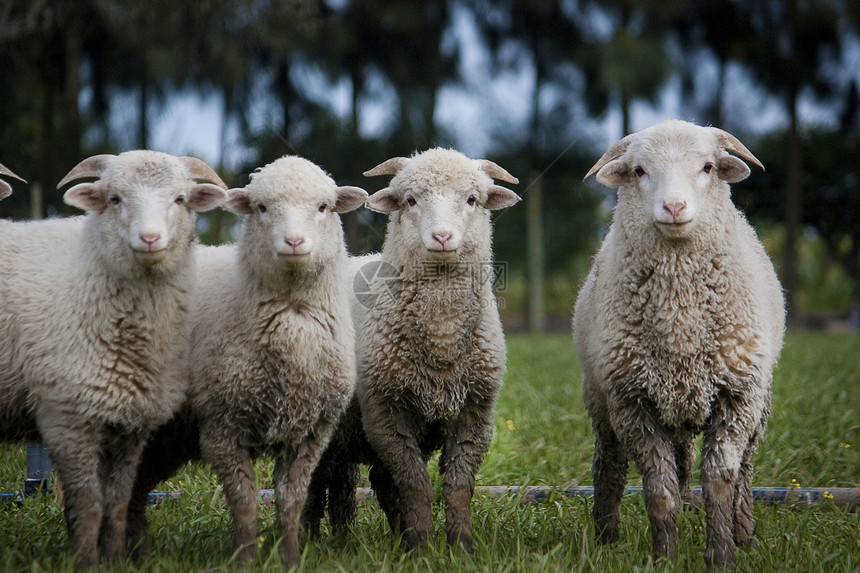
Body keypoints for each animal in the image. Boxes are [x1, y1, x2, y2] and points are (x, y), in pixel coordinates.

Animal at [0, 150, 228, 564]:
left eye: (180, 199)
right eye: (115, 199)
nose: (150, 238)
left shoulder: (131, 422)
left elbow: (117, 500)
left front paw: (113, 558)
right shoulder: (67, 420)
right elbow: (88, 503)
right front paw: (86, 562)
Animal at [126, 155, 368, 568]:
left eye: (323, 207)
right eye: (262, 207)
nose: (294, 242)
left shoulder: (310, 434)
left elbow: (291, 502)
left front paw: (290, 559)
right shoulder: (221, 428)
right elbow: (244, 501)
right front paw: (244, 559)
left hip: (169, 436)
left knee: (135, 486)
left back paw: (137, 553)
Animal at [306, 150, 520, 552]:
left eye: (472, 199)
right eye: (410, 200)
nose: (442, 237)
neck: (441, 337)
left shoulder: (475, 411)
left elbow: (457, 487)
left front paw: (459, 548)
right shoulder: (386, 412)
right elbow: (415, 484)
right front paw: (422, 548)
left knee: (355, 483)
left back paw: (358, 540)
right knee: (315, 484)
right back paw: (311, 539)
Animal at [576, 120, 784, 568]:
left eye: (707, 166)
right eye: (639, 170)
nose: (673, 207)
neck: (680, 322)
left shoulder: (737, 397)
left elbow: (721, 479)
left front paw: (721, 555)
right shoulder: (631, 402)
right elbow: (659, 487)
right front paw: (664, 557)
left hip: (757, 404)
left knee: (744, 469)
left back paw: (745, 534)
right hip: (607, 401)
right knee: (611, 465)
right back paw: (607, 539)